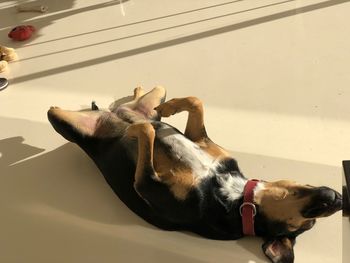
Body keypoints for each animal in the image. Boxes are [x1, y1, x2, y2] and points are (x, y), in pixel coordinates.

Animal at [47, 87, 342, 263]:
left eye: (306, 222)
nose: (338, 198)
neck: (237, 197)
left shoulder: (145, 184)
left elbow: (146, 131)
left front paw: (134, 130)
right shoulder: (202, 141)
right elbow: (194, 103)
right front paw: (167, 111)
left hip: (60, 119)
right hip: (154, 94)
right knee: (147, 101)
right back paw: (140, 98)